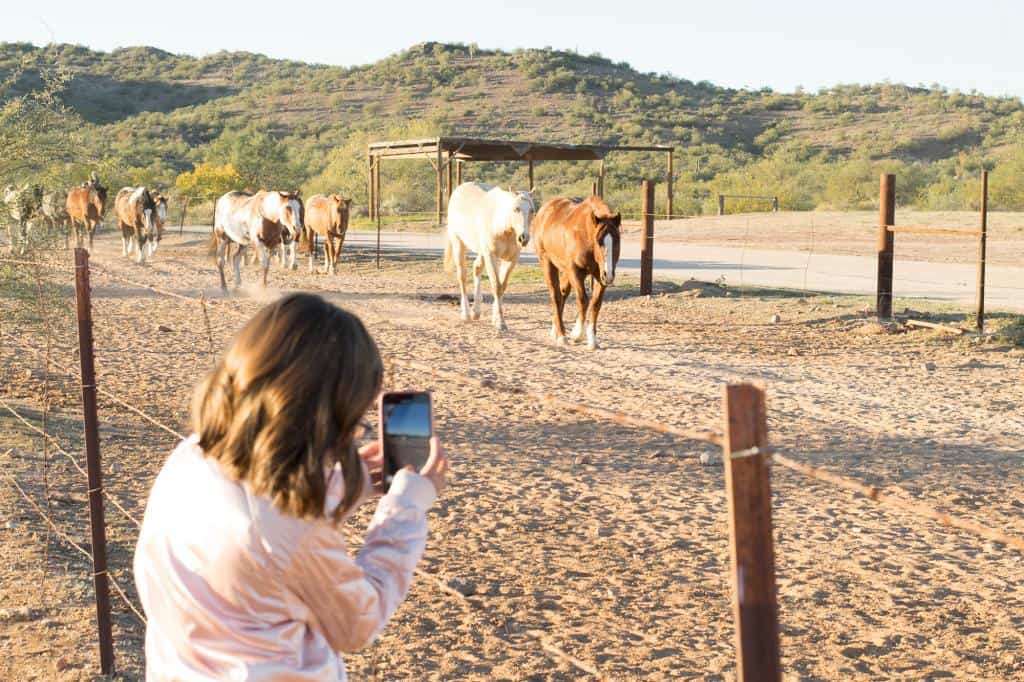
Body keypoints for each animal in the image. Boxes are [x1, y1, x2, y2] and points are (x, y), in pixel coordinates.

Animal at [442, 180, 532, 329]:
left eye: (532, 210)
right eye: (516, 209)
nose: (523, 238)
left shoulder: (511, 259)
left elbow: (502, 286)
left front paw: (496, 318)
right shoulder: (491, 256)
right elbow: (496, 285)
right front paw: (500, 322)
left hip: (481, 251)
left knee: (477, 268)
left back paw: (476, 312)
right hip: (458, 244)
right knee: (462, 277)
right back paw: (466, 314)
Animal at [532, 193, 618, 348]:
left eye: (617, 241)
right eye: (599, 242)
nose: (609, 275)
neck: (584, 235)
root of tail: (543, 211)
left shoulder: (599, 276)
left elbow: (596, 303)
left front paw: (592, 339)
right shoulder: (575, 271)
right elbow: (583, 300)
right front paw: (577, 334)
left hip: (567, 271)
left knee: (563, 293)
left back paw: (556, 330)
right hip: (548, 263)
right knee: (556, 296)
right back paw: (561, 335)